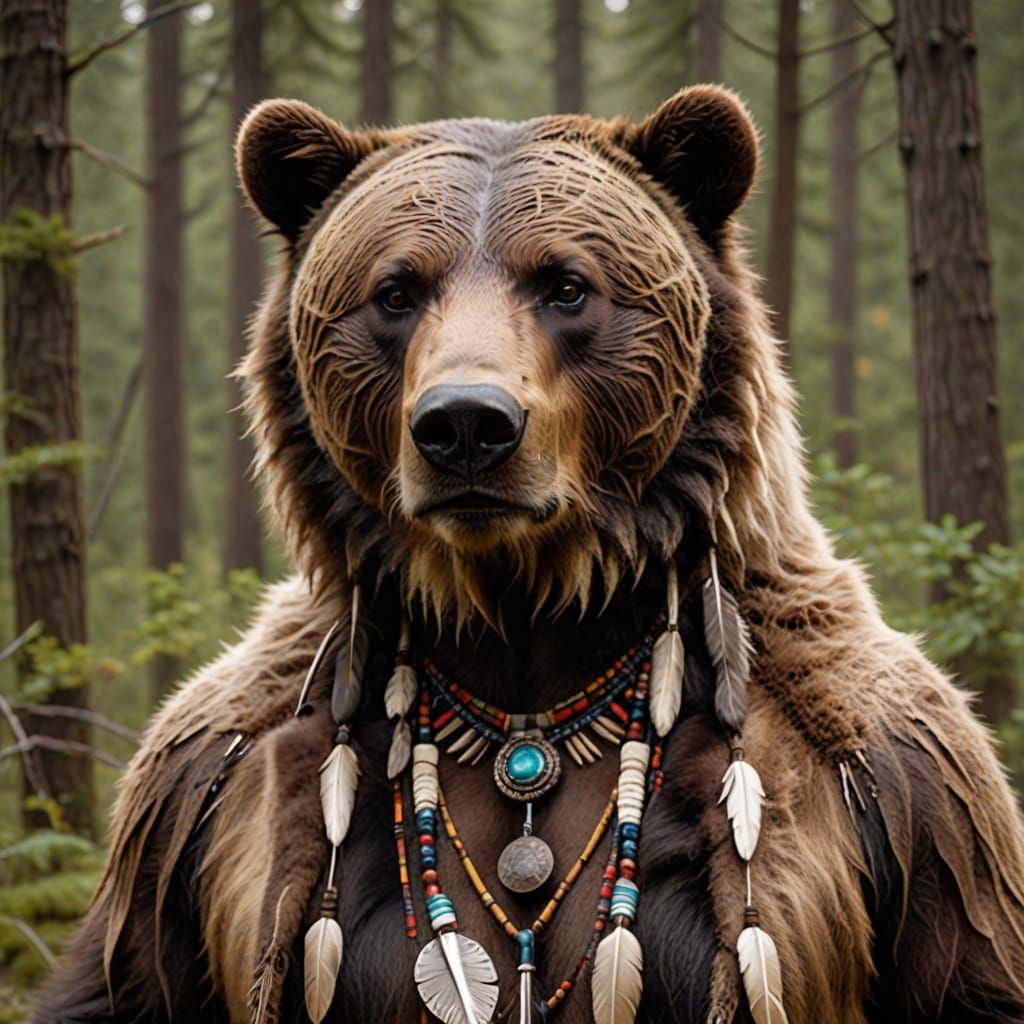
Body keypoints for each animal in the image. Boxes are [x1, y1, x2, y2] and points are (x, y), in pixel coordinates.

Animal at [35, 86, 1024, 1024]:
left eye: (566, 284)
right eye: (396, 291)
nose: (467, 424)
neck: (523, 632)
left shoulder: (919, 789)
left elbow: (969, 970)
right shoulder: (190, 793)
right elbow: (124, 980)